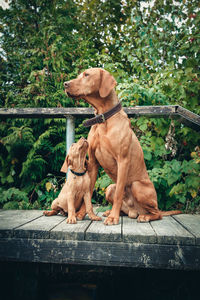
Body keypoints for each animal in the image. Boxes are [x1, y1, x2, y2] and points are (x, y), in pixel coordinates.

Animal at [64, 68, 181, 225]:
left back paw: (143, 216)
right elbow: (88, 192)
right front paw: (82, 214)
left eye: (86, 75)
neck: (104, 119)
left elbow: (119, 192)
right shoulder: (93, 163)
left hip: (138, 186)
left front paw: (113, 218)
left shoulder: (123, 160)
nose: (65, 84)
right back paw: (111, 212)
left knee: (157, 213)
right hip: (109, 188)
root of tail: (135, 211)